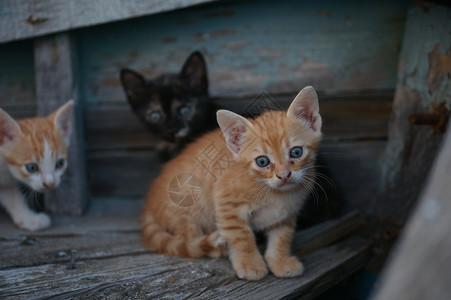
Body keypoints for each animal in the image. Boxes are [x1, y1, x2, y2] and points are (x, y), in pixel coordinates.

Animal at [0, 99, 73, 231]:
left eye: (60, 163)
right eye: (32, 167)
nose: (50, 183)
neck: (3, 166)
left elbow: (12, 197)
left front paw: (28, 219)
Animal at [141, 86, 322, 282]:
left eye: (296, 152)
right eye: (262, 162)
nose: (284, 175)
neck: (274, 193)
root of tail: (150, 202)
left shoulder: (286, 214)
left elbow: (282, 237)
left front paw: (280, 261)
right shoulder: (226, 201)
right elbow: (241, 236)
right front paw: (250, 264)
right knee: (187, 235)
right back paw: (211, 247)